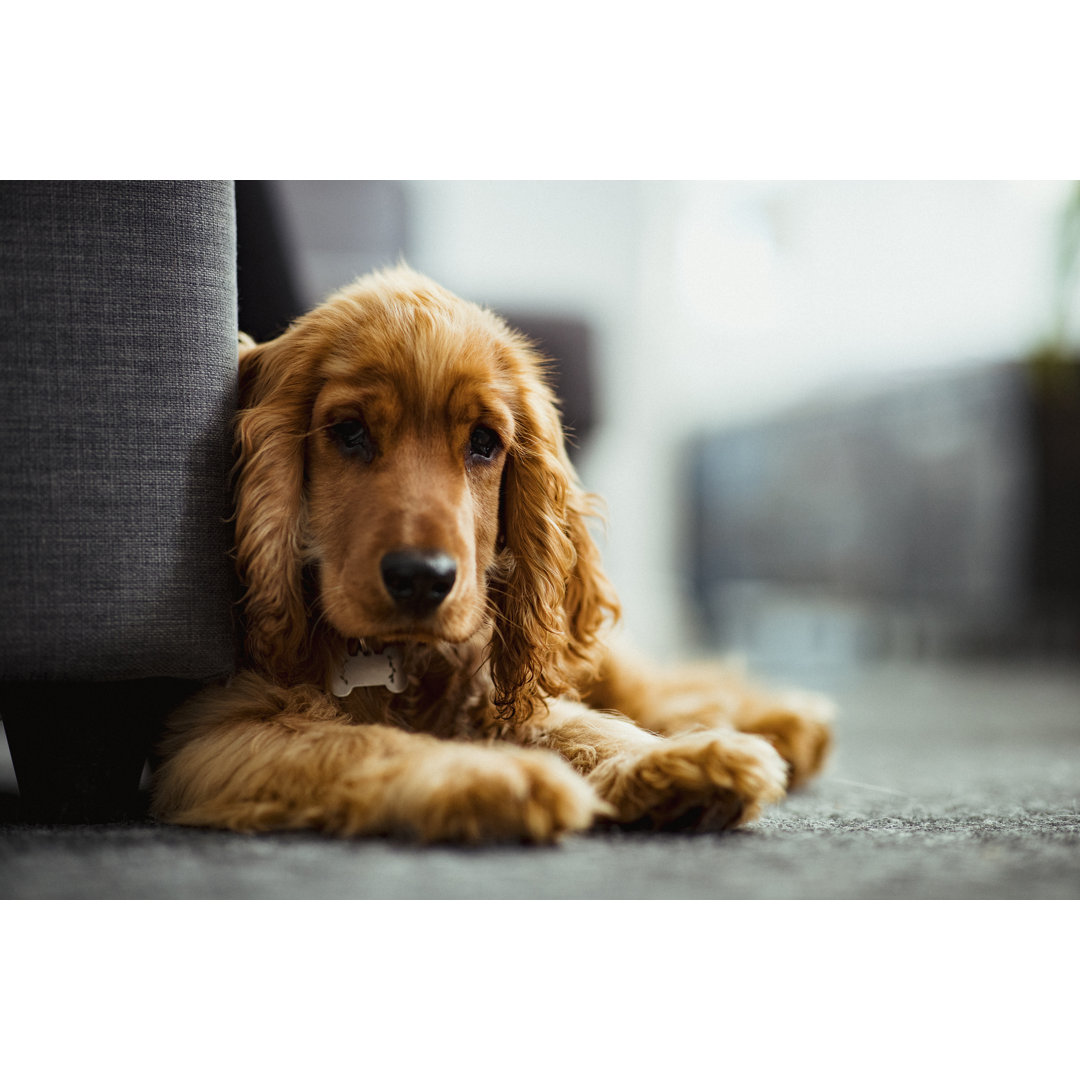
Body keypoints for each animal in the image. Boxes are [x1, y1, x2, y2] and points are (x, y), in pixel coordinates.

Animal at [152, 265, 829, 838]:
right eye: (348, 433)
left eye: (483, 442)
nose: (423, 579)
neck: (396, 660)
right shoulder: (209, 733)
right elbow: (359, 742)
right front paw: (492, 774)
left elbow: (574, 724)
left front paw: (677, 761)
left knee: (653, 686)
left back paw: (776, 723)